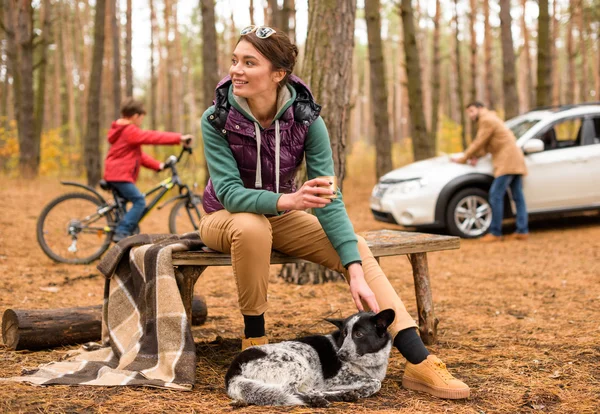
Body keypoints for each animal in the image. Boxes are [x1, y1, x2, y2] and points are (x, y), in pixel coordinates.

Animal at [224, 308, 394, 406]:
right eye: (344, 334)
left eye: (359, 334)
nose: (340, 354)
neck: (369, 361)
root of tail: (233, 370)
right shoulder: (335, 379)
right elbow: (376, 382)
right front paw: (364, 390)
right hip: (297, 363)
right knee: (289, 391)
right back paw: (321, 399)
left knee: (310, 391)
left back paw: (341, 395)